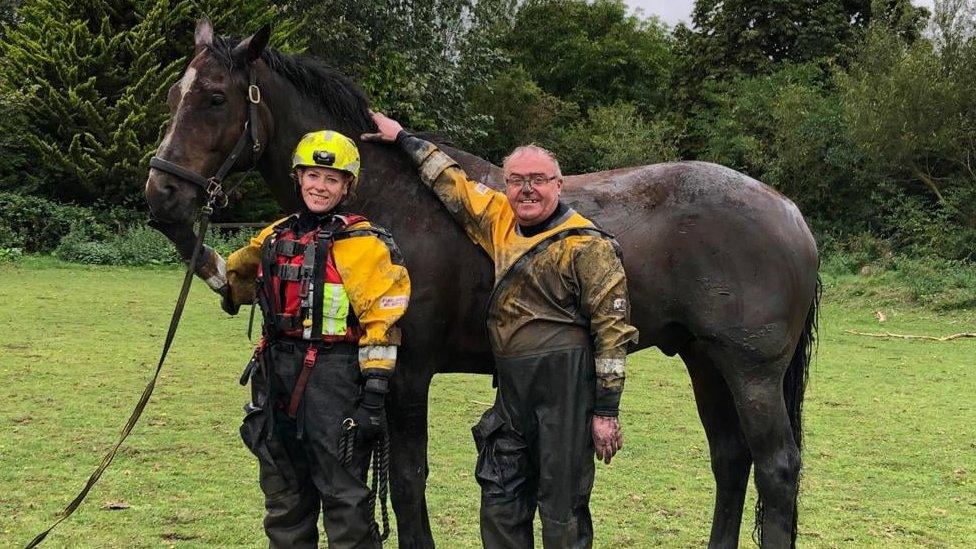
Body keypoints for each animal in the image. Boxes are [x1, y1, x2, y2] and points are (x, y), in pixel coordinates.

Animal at [143, 21, 816, 548]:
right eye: (175, 95)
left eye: (215, 97)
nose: (162, 196)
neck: (393, 199)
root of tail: (789, 211)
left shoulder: (406, 374)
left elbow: (408, 483)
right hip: (706, 363)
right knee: (731, 461)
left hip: (750, 374)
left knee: (776, 468)